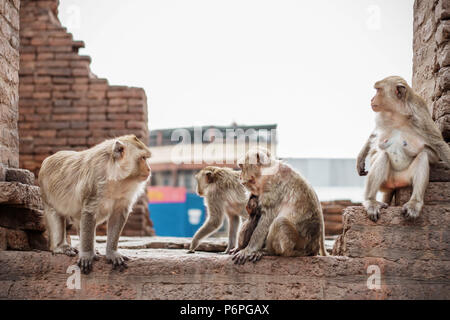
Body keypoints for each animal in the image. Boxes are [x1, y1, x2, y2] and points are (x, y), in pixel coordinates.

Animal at [38, 134, 151, 272]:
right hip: (46, 192)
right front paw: (87, 255)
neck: (116, 177)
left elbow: (117, 215)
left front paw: (112, 252)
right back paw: (61, 247)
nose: (149, 169)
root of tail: (47, 159)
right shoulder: (94, 184)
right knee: (55, 213)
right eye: (143, 158)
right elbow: (89, 211)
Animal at [358, 76, 450, 221]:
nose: (371, 99)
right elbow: (374, 136)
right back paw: (370, 201)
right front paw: (361, 158)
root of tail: (395, 184)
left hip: (405, 178)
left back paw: (414, 203)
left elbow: (438, 143)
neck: (398, 115)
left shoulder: (421, 117)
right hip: (385, 182)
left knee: (422, 156)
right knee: (383, 155)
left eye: (378, 90)